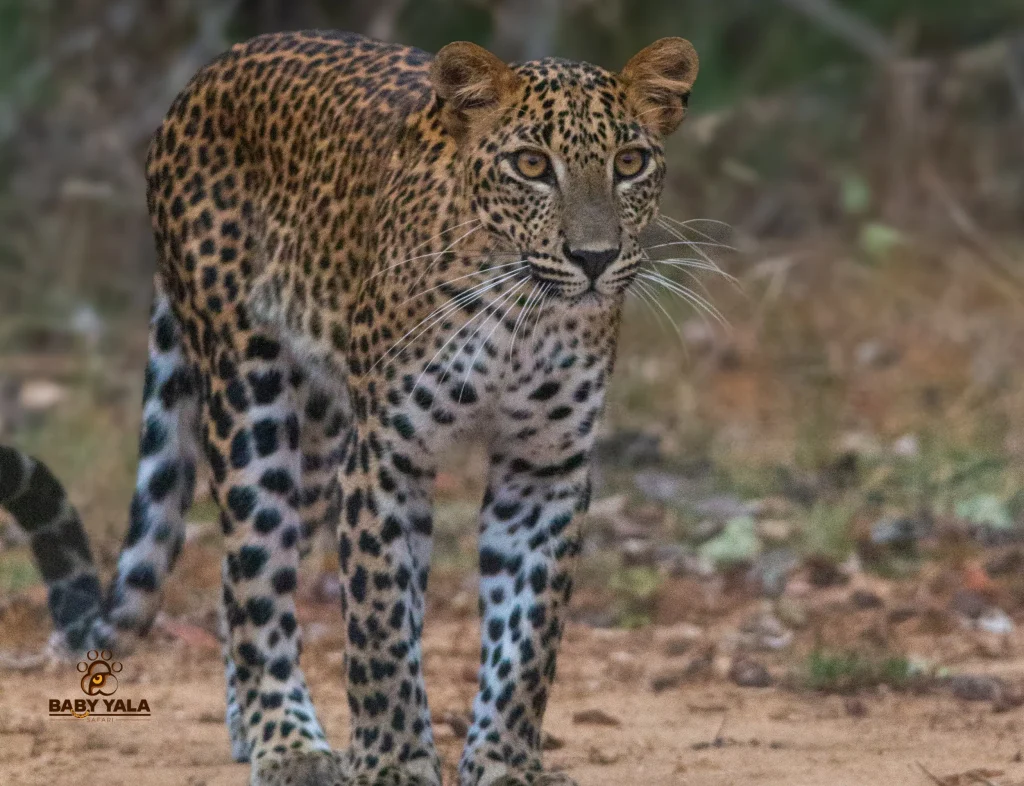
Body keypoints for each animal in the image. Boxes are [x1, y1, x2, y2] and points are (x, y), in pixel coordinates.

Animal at [0, 29, 699, 786]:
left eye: (629, 162)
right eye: (532, 165)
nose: (594, 257)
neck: (526, 317)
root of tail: (210, 72)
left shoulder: (545, 467)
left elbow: (528, 636)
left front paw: (506, 762)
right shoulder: (389, 453)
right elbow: (381, 624)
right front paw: (391, 760)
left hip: (321, 435)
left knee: (233, 579)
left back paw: (252, 728)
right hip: (252, 398)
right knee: (255, 574)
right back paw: (289, 744)